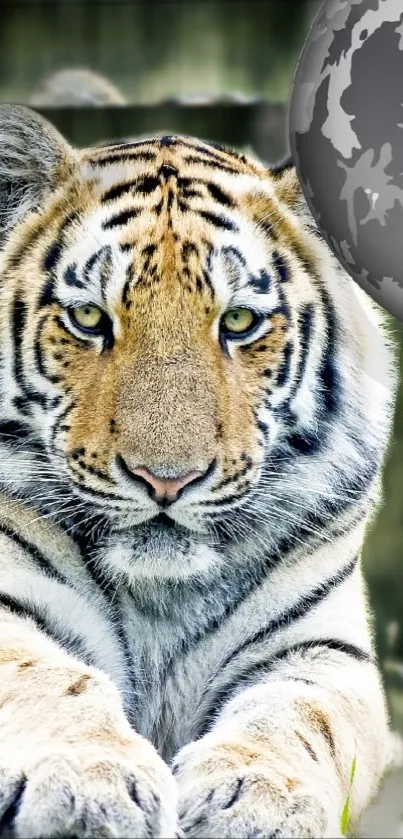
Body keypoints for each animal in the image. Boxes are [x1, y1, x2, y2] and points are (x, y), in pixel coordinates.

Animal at [0, 105, 398, 839]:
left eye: (238, 321)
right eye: (89, 317)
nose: (166, 480)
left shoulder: (322, 648)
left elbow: (298, 718)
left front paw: (260, 798)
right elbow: (49, 677)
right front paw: (91, 783)